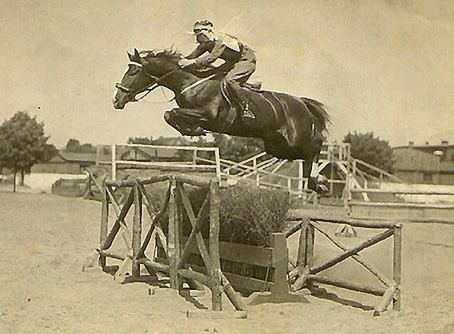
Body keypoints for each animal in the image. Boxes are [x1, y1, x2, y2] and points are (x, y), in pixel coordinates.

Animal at [113, 48, 330, 192]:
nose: (117, 100)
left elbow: (173, 112)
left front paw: (194, 130)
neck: (190, 82)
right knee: (304, 155)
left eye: (133, 72)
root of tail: (302, 102)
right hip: (277, 146)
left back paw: (319, 181)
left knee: (315, 146)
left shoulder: (207, 115)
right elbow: (169, 115)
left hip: (295, 139)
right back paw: (317, 182)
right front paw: (191, 130)